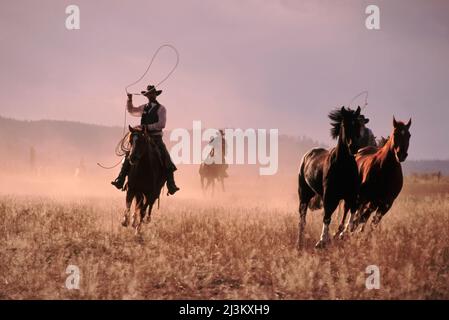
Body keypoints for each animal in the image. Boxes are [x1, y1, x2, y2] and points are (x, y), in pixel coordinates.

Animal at [298, 106, 360, 249]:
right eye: (344, 124)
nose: (354, 147)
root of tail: (307, 155)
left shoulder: (351, 195)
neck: (343, 167)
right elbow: (327, 216)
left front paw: (343, 234)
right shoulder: (330, 196)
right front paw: (322, 241)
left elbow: (352, 212)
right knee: (302, 219)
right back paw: (299, 243)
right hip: (304, 194)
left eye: (358, 125)